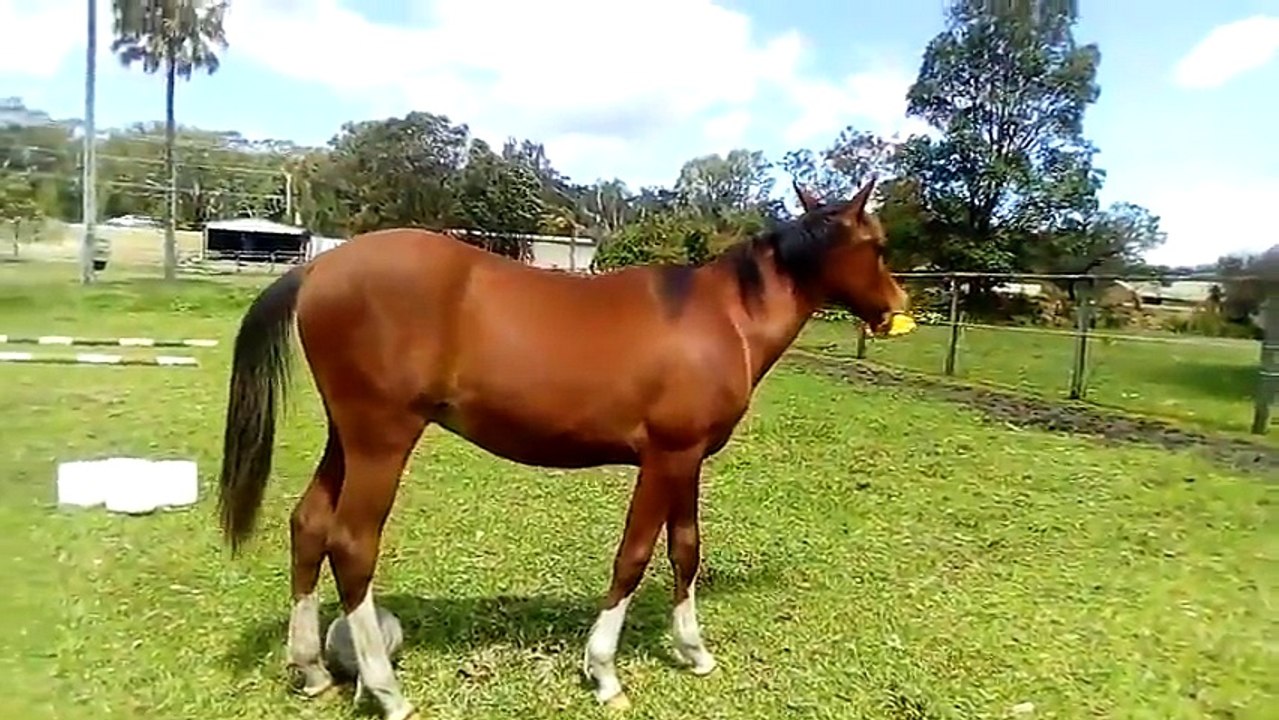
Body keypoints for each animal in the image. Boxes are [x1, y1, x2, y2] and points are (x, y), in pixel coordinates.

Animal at [215, 178, 913, 720]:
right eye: (877, 245)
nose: (898, 308)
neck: (721, 318)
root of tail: (318, 266)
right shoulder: (664, 459)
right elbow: (634, 558)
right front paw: (604, 673)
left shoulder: (688, 460)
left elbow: (685, 552)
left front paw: (693, 652)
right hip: (382, 440)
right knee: (352, 544)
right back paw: (387, 690)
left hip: (348, 438)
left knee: (309, 524)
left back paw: (311, 669)